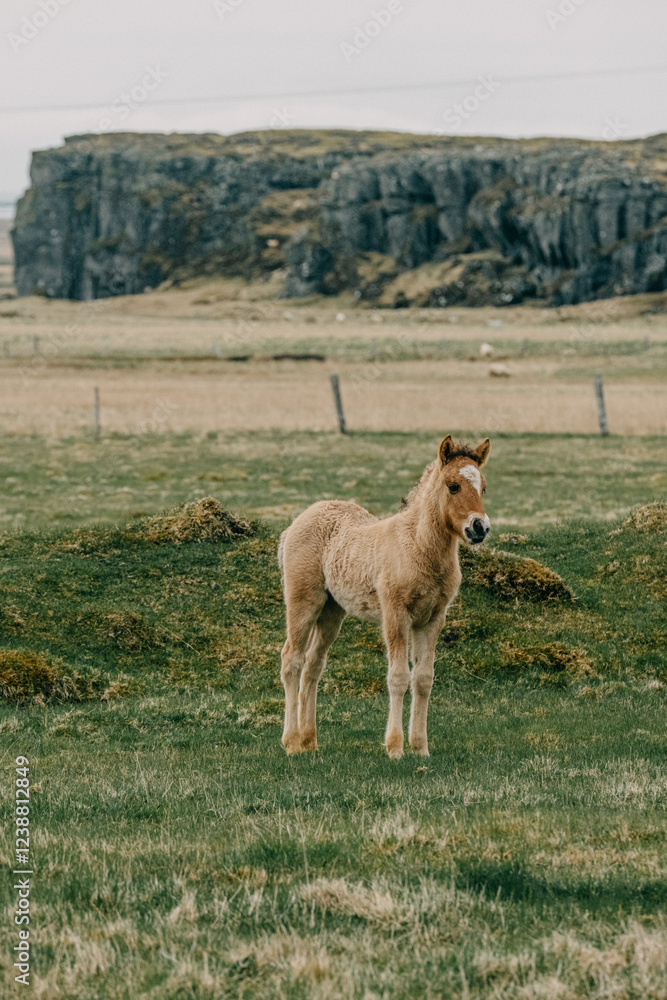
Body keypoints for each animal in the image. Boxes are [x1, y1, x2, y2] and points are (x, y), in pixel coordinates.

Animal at [277, 435, 491, 759]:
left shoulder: (433, 618)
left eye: (484, 487)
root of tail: (297, 522)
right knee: (292, 660)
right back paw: (291, 742)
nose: (480, 527)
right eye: (453, 486)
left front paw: (421, 747)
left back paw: (309, 741)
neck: (418, 546)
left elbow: (423, 679)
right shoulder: (396, 614)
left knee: (314, 665)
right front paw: (395, 747)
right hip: (303, 601)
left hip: (332, 610)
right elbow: (398, 677)